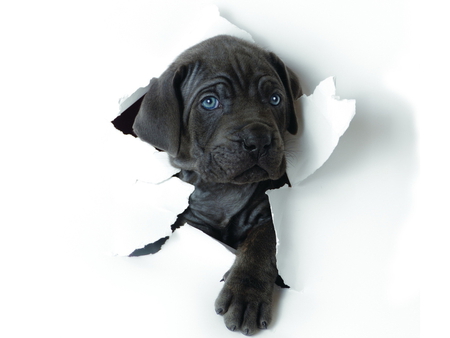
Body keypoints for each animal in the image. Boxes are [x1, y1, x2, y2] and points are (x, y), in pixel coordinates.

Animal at [112, 35, 302, 336]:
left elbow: (263, 242)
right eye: (210, 102)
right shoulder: (189, 221)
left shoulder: (267, 210)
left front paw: (246, 294)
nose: (258, 139)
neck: (221, 189)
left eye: (275, 99)